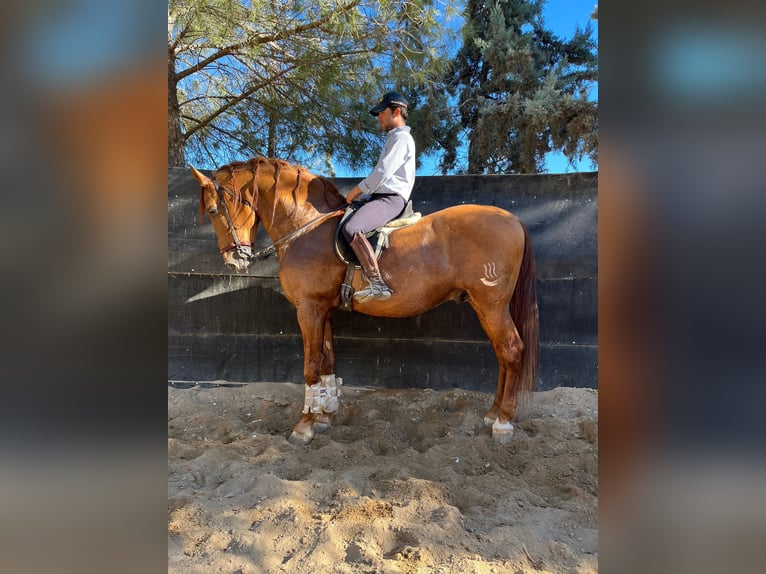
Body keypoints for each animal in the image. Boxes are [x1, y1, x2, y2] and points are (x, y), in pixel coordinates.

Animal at [191, 158, 540, 446]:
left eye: (214, 211)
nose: (234, 261)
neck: (306, 228)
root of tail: (512, 219)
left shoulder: (308, 309)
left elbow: (310, 366)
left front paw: (304, 425)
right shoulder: (324, 309)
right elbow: (327, 360)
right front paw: (325, 414)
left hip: (491, 305)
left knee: (511, 350)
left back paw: (503, 423)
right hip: (486, 306)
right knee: (502, 354)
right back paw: (492, 413)